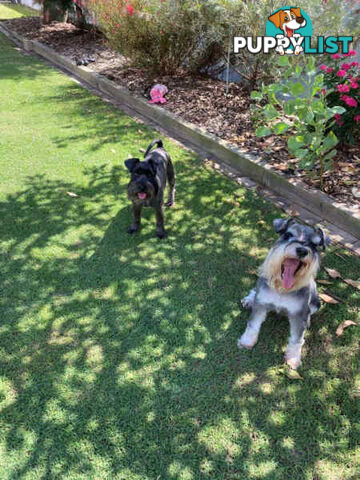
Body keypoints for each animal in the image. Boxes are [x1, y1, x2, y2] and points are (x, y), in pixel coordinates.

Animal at [238, 219, 330, 370]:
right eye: (288, 235)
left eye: (314, 244)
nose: (302, 250)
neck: (282, 288)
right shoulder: (261, 303)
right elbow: (253, 324)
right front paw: (246, 341)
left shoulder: (298, 315)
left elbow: (296, 339)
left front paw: (293, 358)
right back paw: (249, 299)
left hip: (316, 302)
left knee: (310, 311)